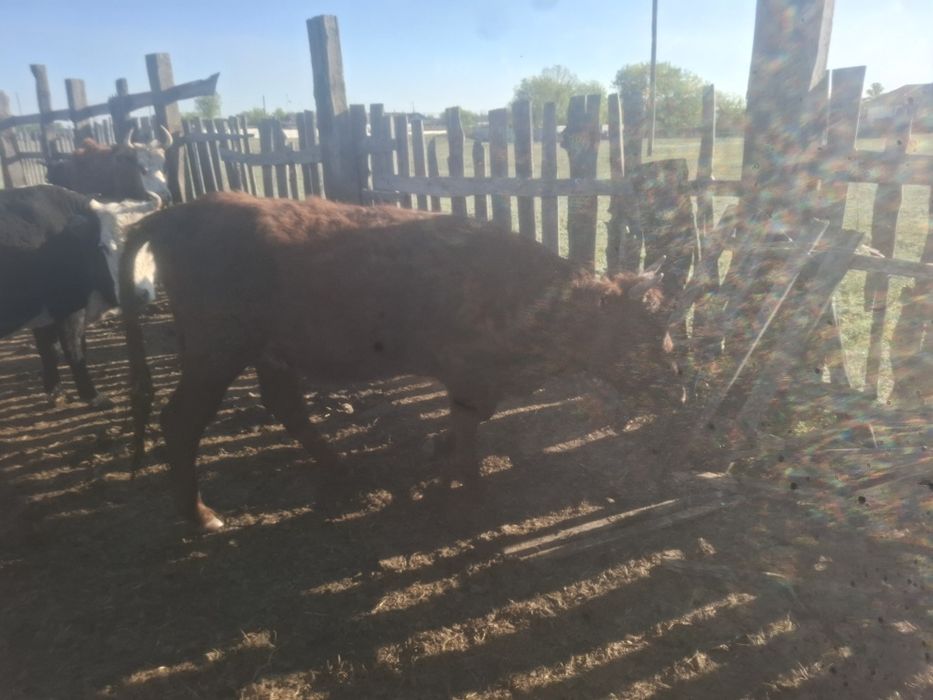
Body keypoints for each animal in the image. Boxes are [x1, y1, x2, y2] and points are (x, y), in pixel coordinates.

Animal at [0, 185, 158, 408]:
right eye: (104, 247)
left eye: (148, 243)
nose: (135, 294)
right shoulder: (68, 307)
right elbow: (74, 350)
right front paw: (94, 396)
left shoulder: (45, 314)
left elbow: (49, 350)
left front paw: (55, 392)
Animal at [120, 192, 681, 532]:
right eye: (648, 333)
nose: (677, 386)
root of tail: (178, 213)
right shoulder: (470, 376)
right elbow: (469, 428)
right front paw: (469, 486)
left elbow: (469, 423)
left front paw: (440, 453)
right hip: (216, 355)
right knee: (181, 422)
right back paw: (201, 517)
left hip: (267, 353)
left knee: (286, 406)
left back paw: (341, 468)